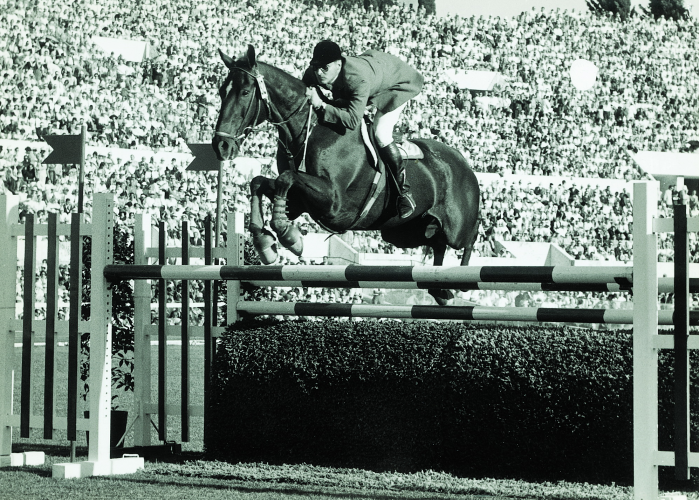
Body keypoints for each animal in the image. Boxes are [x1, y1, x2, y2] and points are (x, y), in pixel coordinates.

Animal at [213, 47, 484, 304]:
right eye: (221, 92)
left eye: (245, 93)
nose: (221, 146)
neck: (310, 128)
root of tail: (463, 162)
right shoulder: (300, 201)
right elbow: (259, 182)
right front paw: (265, 242)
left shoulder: (335, 203)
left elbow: (285, 178)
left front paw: (290, 237)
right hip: (401, 233)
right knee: (437, 243)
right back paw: (440, 289)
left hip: (456, 227)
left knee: (468, 238)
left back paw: (461, 284)